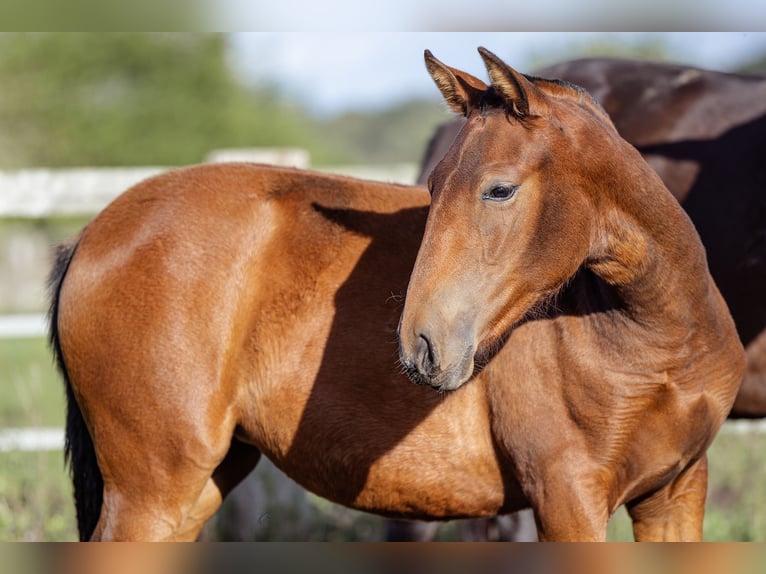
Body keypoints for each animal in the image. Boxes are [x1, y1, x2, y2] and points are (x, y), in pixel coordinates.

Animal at [48, 49, 744, 544]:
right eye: (432, 187)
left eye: (499, 189)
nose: (423, 346)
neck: (654, 339)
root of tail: (94, 233)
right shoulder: (567, 499)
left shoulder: (676, 494)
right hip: (152, 493)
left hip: (202, 485)